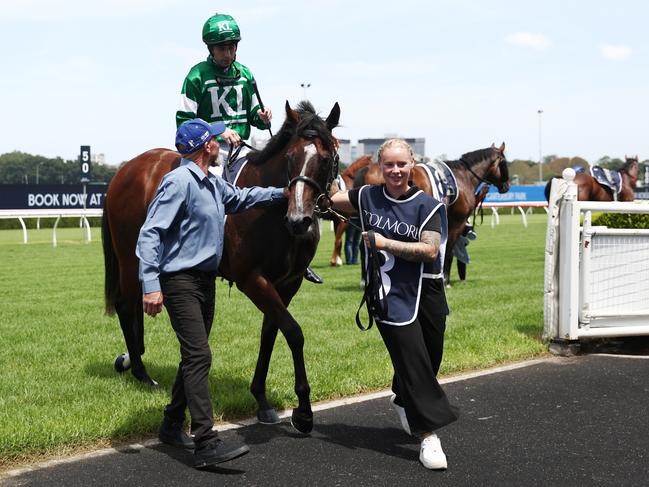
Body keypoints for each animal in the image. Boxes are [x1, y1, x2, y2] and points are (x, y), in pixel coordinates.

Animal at [102, 100, 340, 434]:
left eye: (326, 158)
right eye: (290, 158)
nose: (299, 219)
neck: (273, 215)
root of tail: (124, 170)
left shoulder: (288, 283)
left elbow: (271, 333)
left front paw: (261, 399)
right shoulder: (251, 279)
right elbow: (293, 332)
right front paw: (304, 412)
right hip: (129, 255)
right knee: (126, 305)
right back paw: (141, 372)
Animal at [360, 143, 506, 284]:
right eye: (504, 162)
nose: (506, 186)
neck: (465, 176)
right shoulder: (457, 222)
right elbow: (448, 250)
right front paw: (445, 279)